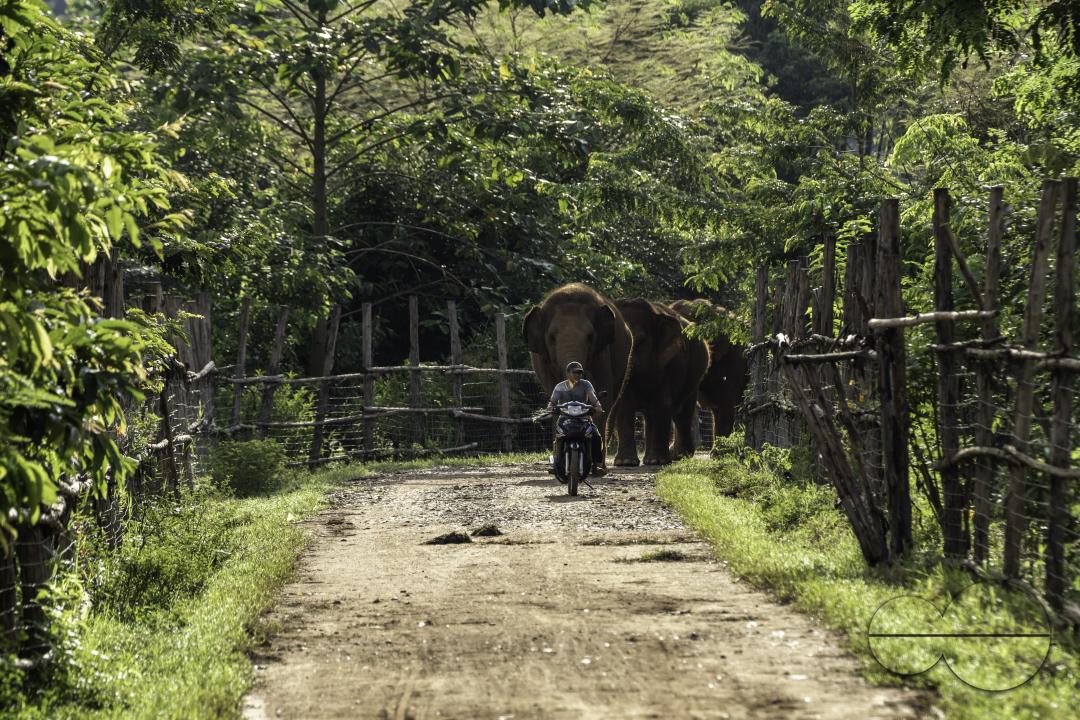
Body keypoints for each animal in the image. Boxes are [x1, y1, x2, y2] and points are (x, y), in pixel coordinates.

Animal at [523, 283, 634, 454]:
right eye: (551, 338)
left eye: (590, 336)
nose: (579, 371)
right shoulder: (544, 362)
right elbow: (556, 401)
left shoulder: (602, 355)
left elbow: (602, 400)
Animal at [612, 298, 710, 466]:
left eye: (640, 341)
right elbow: (625, 405)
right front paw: (625, 463)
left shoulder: (671, 361)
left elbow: (662, 402)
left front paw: (657, 461)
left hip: (695, 372)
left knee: (682, 413)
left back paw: (679, 456)